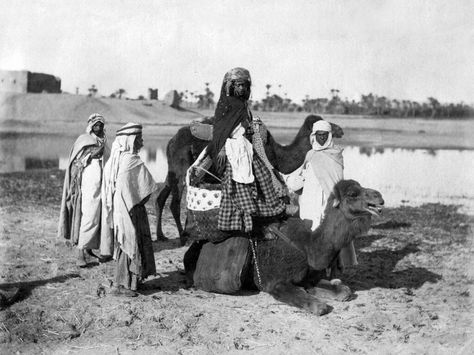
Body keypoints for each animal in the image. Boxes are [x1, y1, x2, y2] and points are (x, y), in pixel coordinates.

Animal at [156, 114, 344, 245]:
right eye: (325, 124)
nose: (341, 129)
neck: (277, 154)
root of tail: (171, 141)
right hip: (180, 168)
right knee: (175, 203)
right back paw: (182, 238)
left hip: (171, 170)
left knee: (161, 197)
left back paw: (162, 236)